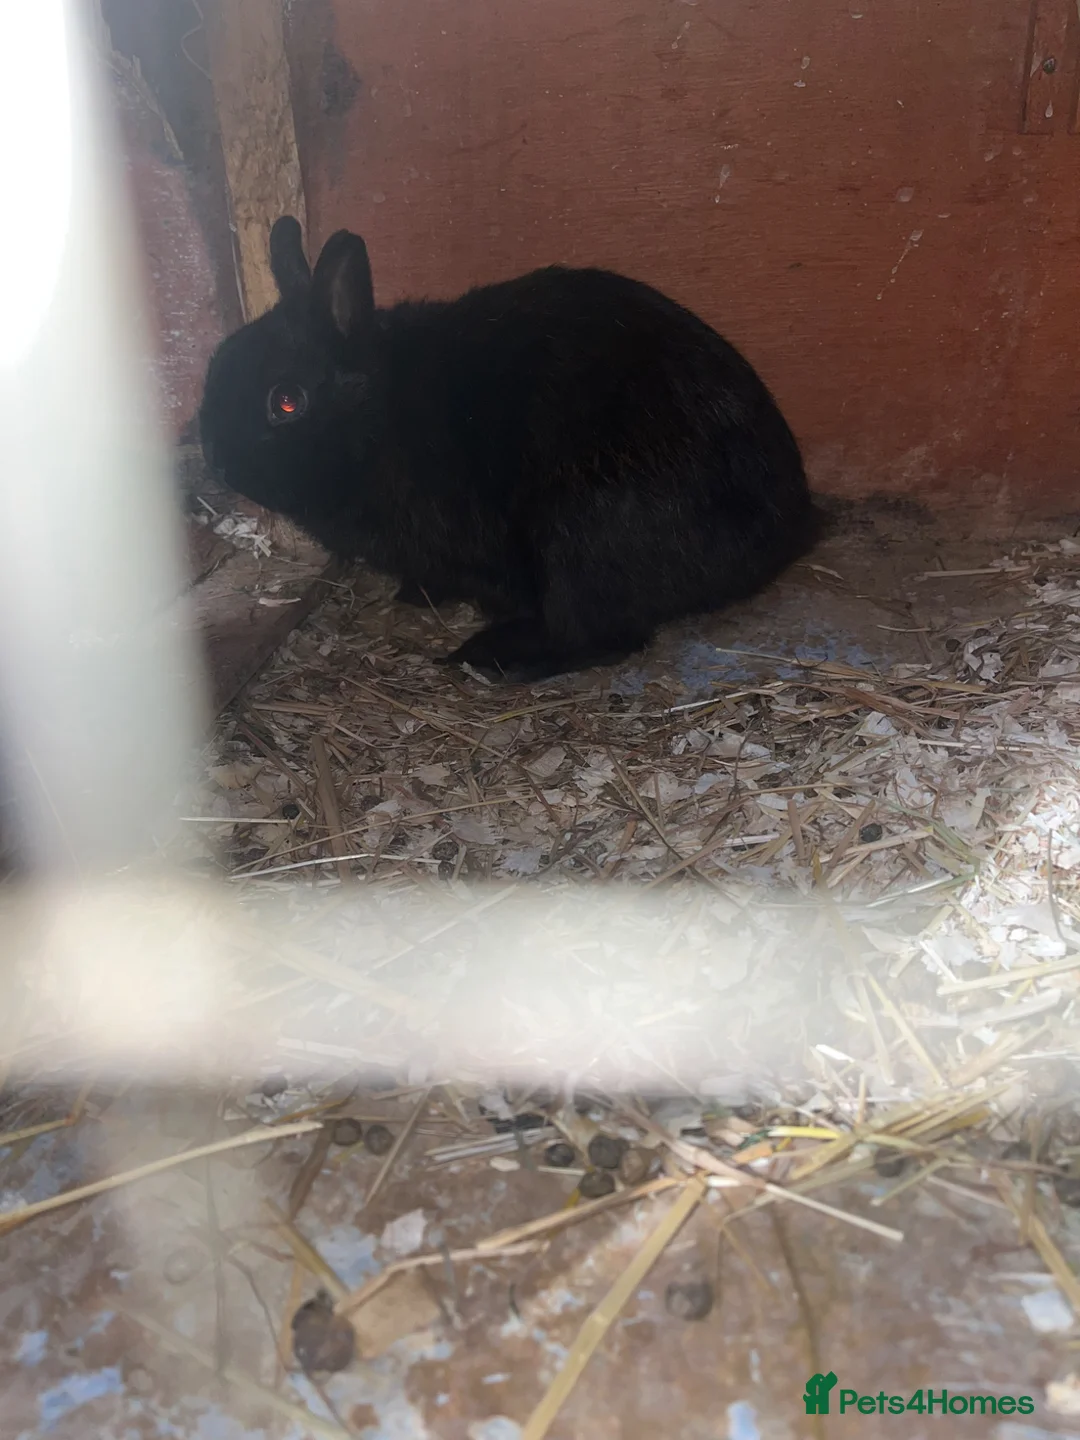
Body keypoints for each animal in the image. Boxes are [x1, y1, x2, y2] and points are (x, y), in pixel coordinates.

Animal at [198, 216, 819, 682]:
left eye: (286, 402)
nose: (217, 461)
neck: (378, 415)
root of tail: (780, 537)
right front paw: (414, 595)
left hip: (579, 538)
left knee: (603, 637)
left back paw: (491, 658)